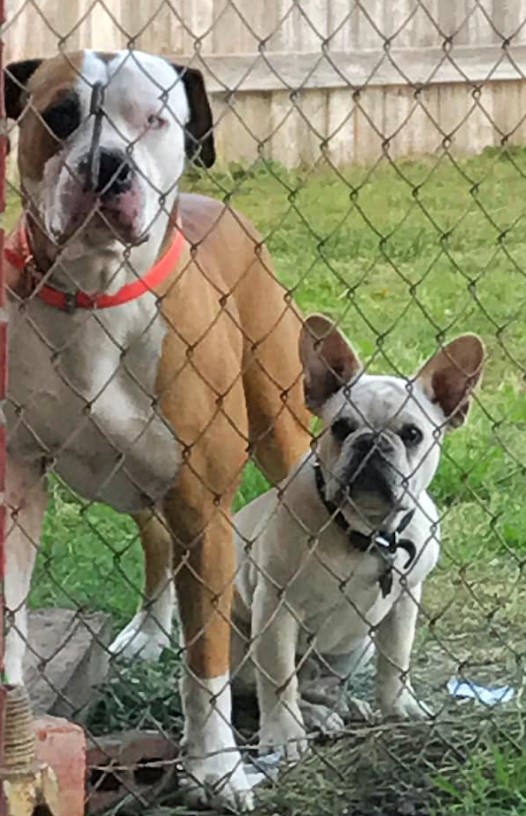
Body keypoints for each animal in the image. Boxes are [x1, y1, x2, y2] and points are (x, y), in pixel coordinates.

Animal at [4, 51, 312, 808]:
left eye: (155, 119)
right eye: (60, 114)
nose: (108, 165)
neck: (94, 291)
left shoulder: (205, 506)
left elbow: (207, 661)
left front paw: (215, 769)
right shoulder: (15, 485)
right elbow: (8, 620)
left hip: (281, 434)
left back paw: (285, 726)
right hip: (136, 477)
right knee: (154, 538)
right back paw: (147, 629)